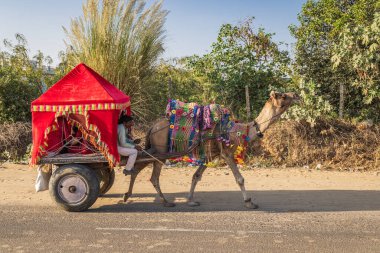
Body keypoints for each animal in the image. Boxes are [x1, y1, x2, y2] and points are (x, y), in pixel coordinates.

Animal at [121, 90, 300, 208]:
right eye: (283, 95)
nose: (296, 94)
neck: (241, 131)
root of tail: (152, 128)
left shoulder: (211, 154)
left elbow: (196, 176)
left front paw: (191, 200)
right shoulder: (226, 153)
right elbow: (239, 178)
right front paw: (249, 202)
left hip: (154, 149)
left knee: (138, 167)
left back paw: (127, 195)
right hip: (160, 151)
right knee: (152, 176)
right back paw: (165, 202)